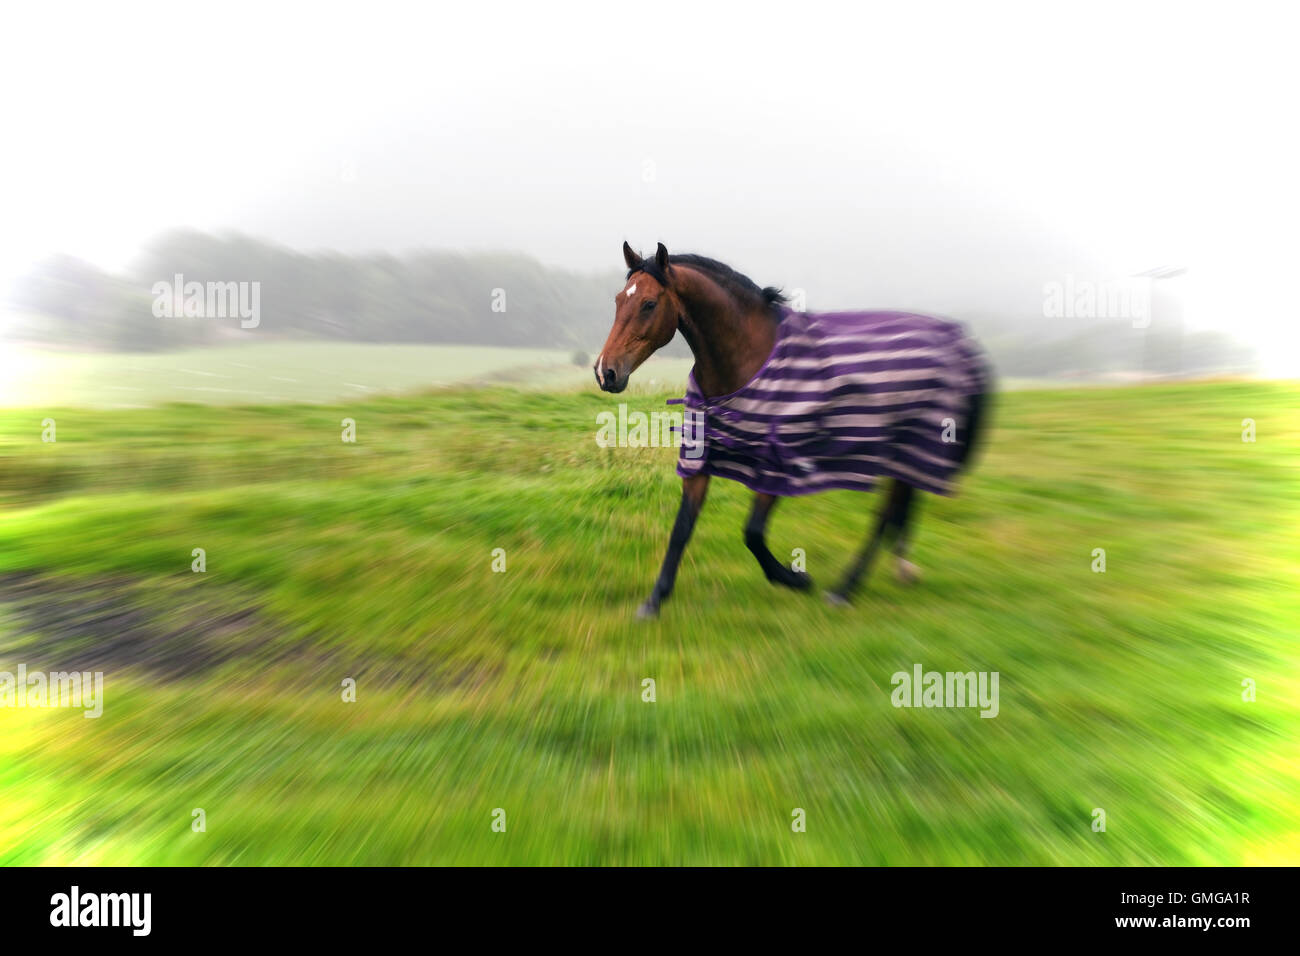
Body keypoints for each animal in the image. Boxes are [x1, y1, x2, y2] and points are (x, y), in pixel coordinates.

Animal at [595, 240, 987, 621]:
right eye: (617, 299)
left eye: (648, 304)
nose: (606, 372)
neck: (747, 361)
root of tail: (954, 340)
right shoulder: (700, 459)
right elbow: (682, 528)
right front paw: (654, 600)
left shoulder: (776, 464)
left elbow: (753, 533)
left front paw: (794, 578)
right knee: (901, 507)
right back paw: (901, 569)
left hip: (905, 447)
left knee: (886, 515)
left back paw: (844, 590)